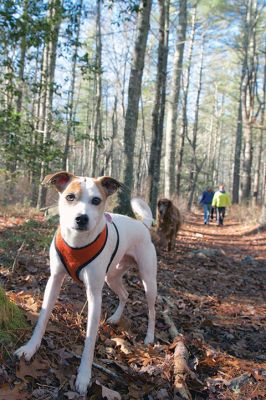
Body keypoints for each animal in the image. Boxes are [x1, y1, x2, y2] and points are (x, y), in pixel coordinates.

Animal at [15, 171, 158, 394]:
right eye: (70, 197)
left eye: (96, 200)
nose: (81, 218)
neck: (77, 241)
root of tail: (142, 225)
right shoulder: (54, 281)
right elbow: (43, 317)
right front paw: (30, 348)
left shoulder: (94, 294)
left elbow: (90, 338)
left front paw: (84, 376)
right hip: (112, 276)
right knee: (125, 294)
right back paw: (115, 318)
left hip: (148, 279)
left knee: (152, 310)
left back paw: (150, 337)